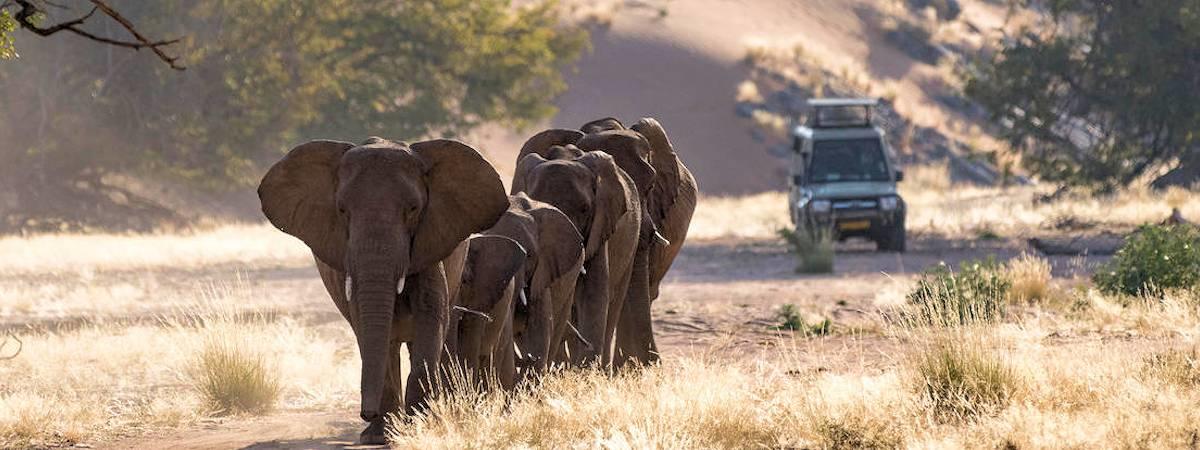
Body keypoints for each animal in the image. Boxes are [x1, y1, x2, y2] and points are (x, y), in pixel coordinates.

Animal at [258, 136, 506, 444]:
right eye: (342, 210)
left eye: (413, 209)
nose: (366, 413)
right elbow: (369, 326)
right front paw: (379, 436)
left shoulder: (430, 242)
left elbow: (430, 315)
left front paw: (419, 424)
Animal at [508, 132, 638, 367]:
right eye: (538, 203)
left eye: (585, 209)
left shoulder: (601, 223)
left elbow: (593, 293)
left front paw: (586, 370)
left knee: (613, 305)